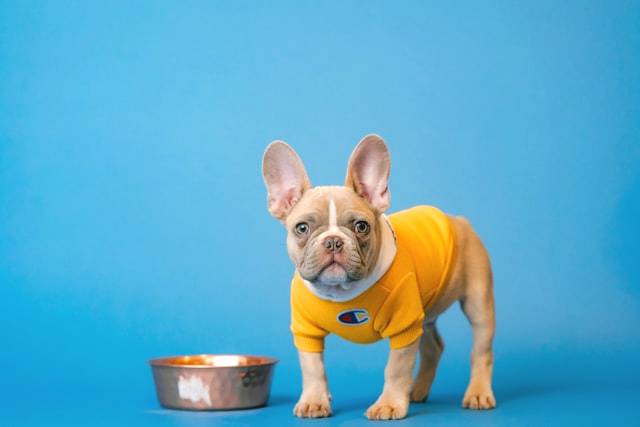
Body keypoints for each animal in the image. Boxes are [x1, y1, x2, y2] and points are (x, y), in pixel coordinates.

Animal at [260, 136, 496, 422]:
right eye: (302, 228)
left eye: (361, 226)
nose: (333, 241)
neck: (341, 291)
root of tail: (459, 221)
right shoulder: (306, 331)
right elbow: (313, 367)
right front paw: (314, 400)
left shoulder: (404, 327)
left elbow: (396, 369)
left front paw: (389, 404)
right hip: (424, 315)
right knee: (434, 347)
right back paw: (417, 390)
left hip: (477, 303)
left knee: (481, 350)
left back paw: (478, 393)